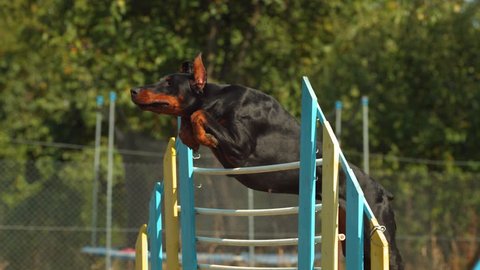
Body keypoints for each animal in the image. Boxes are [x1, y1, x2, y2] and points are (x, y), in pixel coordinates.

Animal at [129, 53, 404, 268]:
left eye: (168, 82)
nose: (133, 90)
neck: (217, 99)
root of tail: (384, 192)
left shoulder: (240, 145)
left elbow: (199, 115)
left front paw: (202, 134)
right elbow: (192, 123)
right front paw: (193, 137)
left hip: (377, 232)